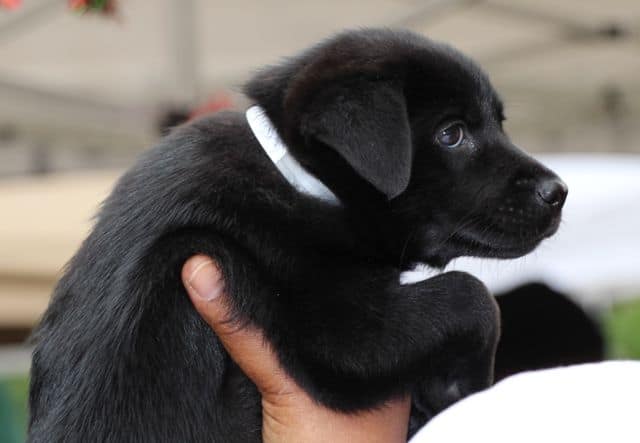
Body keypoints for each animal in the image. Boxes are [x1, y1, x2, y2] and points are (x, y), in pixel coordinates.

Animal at [28, 28, 564, 443]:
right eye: (452, 134)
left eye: (498, 123)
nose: (559, 192)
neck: (298, 176)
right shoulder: (336, 327)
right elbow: (472, 297)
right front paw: (464, 387)